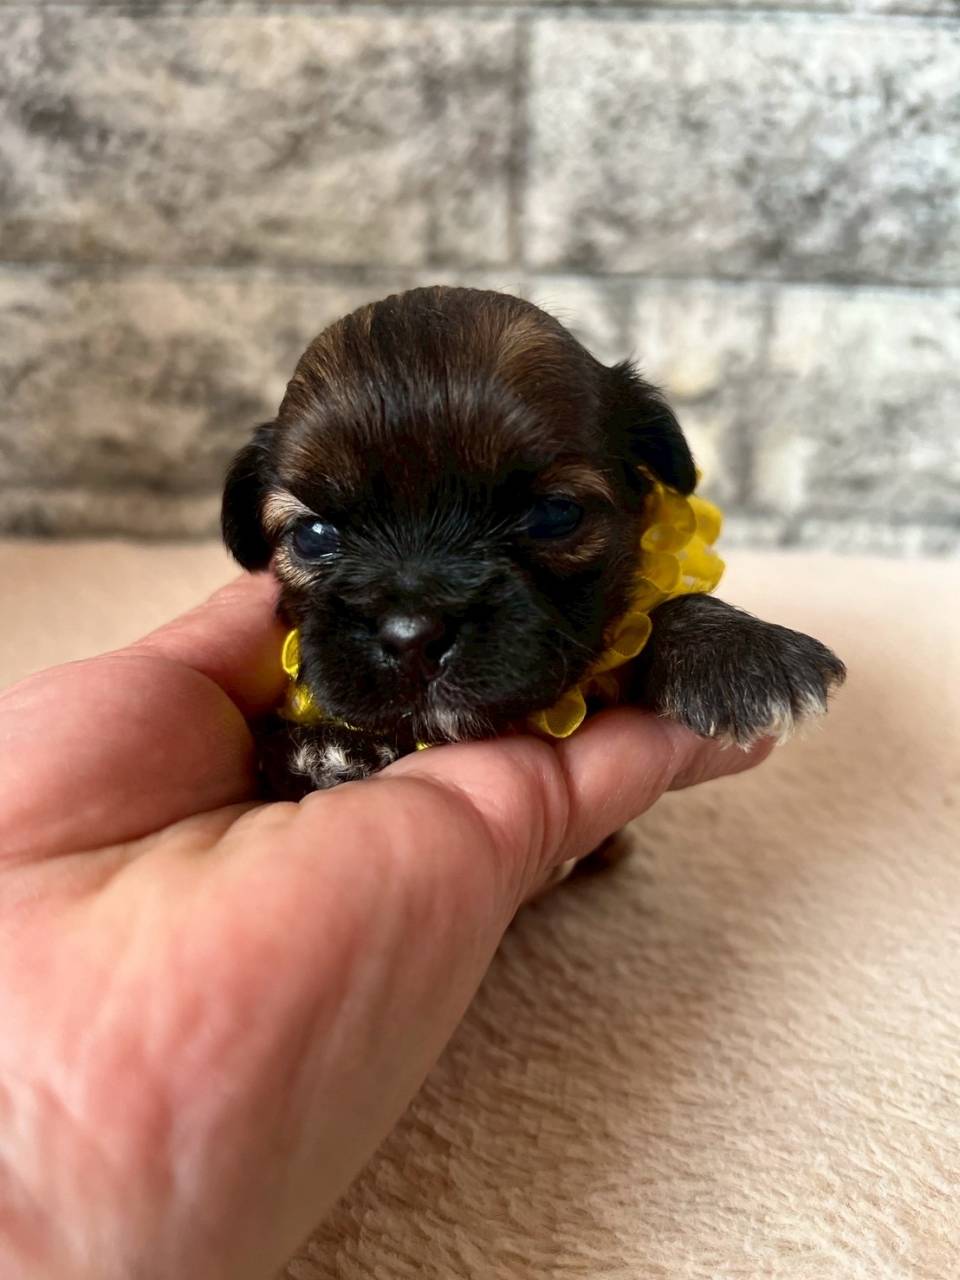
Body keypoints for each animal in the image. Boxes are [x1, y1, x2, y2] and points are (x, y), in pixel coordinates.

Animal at [221, 285, 845, 798]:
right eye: (312, 536)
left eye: (553, 515)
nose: (412, 635)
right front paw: (325, 747)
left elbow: (653, 613)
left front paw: (737, 651)